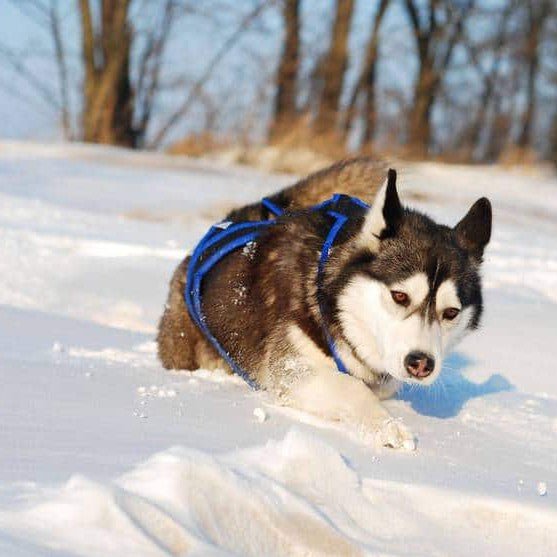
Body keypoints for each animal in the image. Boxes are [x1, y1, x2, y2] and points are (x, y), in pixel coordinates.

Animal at [157, 156, 490, 448]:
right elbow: (350, 387)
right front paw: (386, 425)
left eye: (451, 312)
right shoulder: (289, 369)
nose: (421, 363)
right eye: (400, 296)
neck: (334, 307)